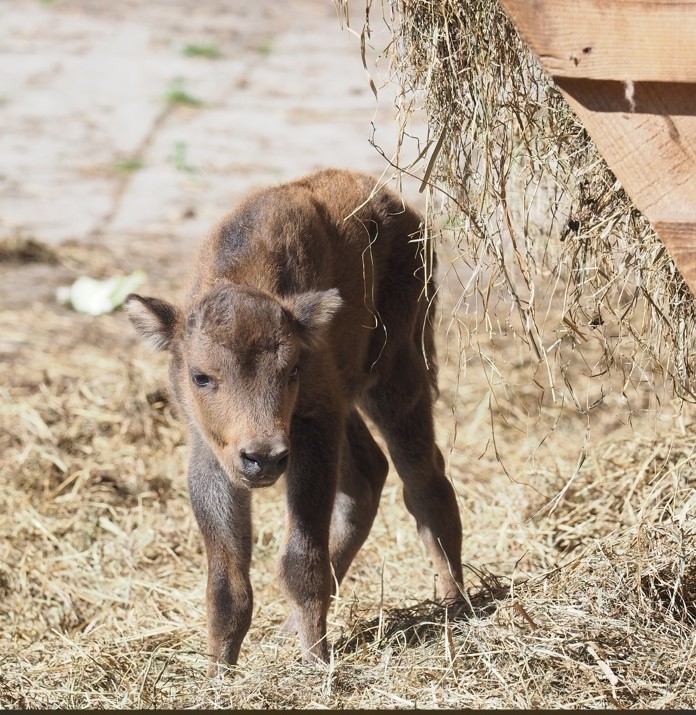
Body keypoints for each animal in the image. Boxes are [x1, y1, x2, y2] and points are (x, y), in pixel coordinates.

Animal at [125, 171, 462, 676]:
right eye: (201, 376)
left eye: (291, 370)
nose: (263, 457)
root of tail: (400, 210)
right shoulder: (213, 452)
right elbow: (226, 582)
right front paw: (219, 672)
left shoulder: (312, 429)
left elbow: (301, 559)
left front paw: (316, 659)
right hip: (351, 402)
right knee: (368, 476)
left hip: (397, 376)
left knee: (424, 480)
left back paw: (456, 604)